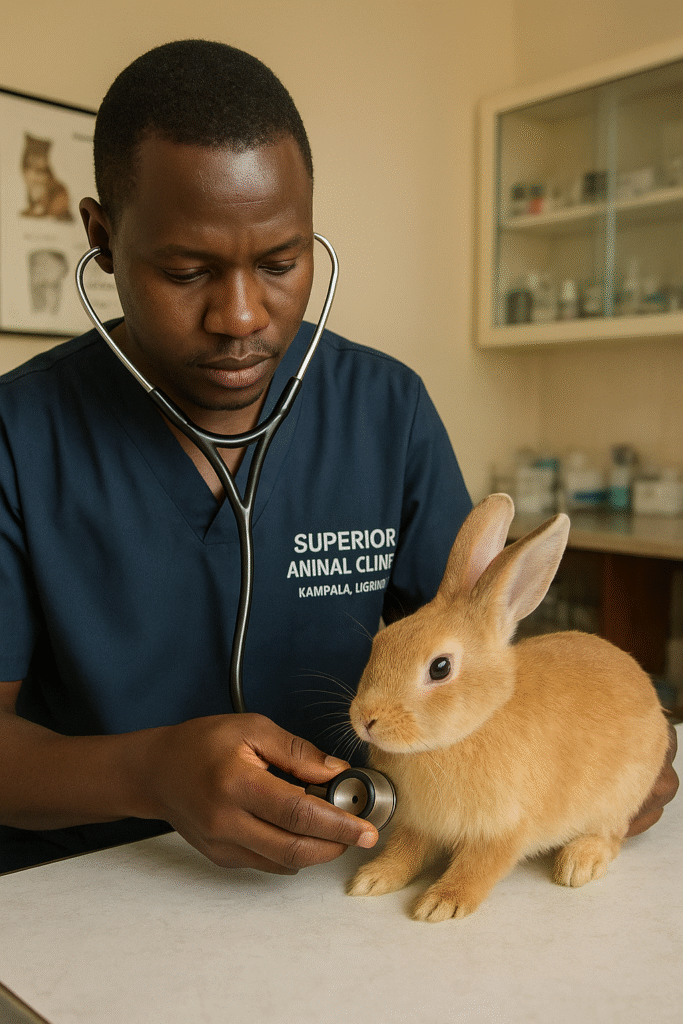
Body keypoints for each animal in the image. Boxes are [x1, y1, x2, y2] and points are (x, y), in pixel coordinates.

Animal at [347, 493, 669, 922]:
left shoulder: (504, 829)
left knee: (611, 835)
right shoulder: (421, 824)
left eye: (440, 667)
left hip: (618, 797)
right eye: (383, 640)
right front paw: (372, 879)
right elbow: (404, 852)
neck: (476, 724)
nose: (365, 719)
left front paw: (441, 903)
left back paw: (578, 863)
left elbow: (478, 866)